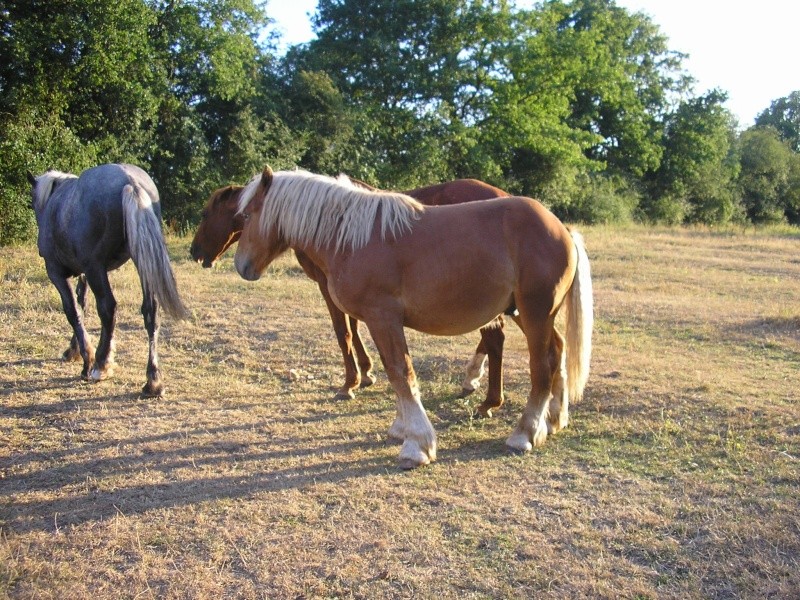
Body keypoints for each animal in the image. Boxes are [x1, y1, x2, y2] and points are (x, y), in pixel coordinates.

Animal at [189, 176, 512, 414]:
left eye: (205, 214)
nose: (195, 253)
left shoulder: (326, 286)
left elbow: (342, 331)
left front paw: (350, 383)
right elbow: (354, 328)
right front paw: (366, 373)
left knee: (494, 337)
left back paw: (483, 393)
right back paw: (475, 383)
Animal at [234, 165, 592, 468]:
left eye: (247, 215)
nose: (242, 266)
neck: (351, 237)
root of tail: (562, 229)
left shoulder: (382, 318)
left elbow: (400, 372)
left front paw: (417, 445)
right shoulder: (380, 323)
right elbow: (395, 373)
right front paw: (401, 428)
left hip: (535, 313)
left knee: (542, 365)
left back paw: (525, 434)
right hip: (528, 313)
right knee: (558, 351)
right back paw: (554, 420)